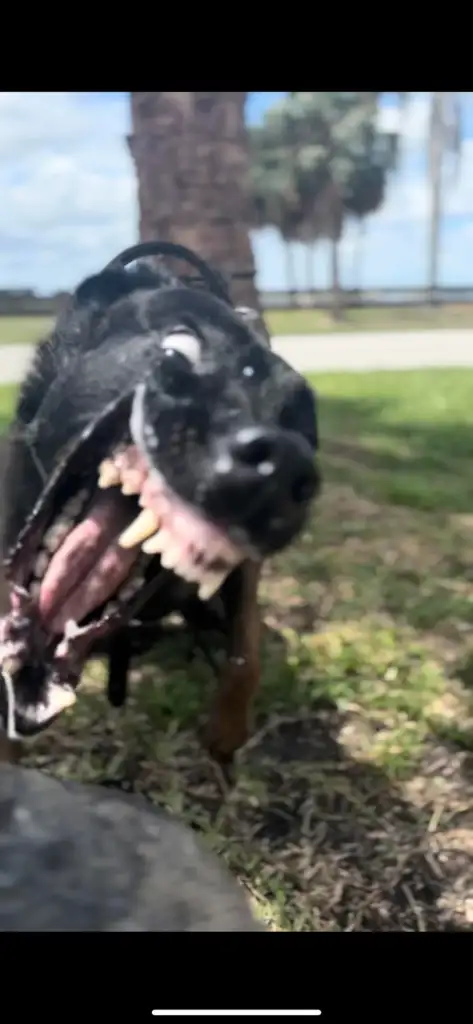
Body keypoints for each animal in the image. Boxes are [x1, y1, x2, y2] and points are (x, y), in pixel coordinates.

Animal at [0, 241, 321, 761]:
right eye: (178, 350)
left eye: (300, 424)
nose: (283, 466)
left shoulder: (245, 572)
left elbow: (245, 649)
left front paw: (226, 732)